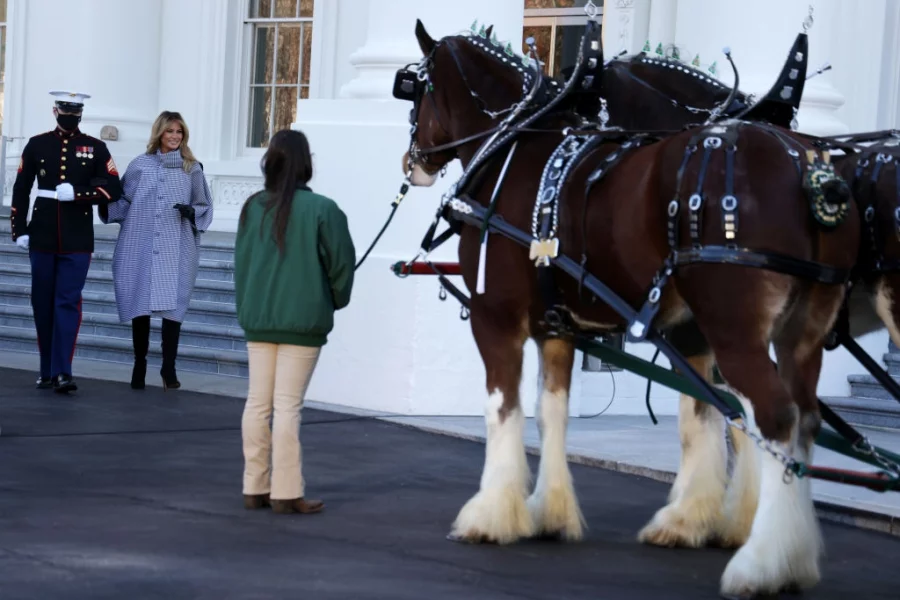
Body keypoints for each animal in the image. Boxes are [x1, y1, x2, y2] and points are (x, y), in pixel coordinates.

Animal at [404, 21, 860, 596]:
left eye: (412, 89)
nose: (412, 161)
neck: (516, 148)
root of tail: (810, 171)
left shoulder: (496, 318)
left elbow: (503, 409)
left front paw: (491, 515)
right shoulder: (561, 328)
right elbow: (554, 412)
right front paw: (552, 513)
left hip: (734, 329)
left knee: (774, 416)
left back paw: (761, 563)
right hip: (800, 334)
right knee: (802, 419)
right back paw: (791, 556)